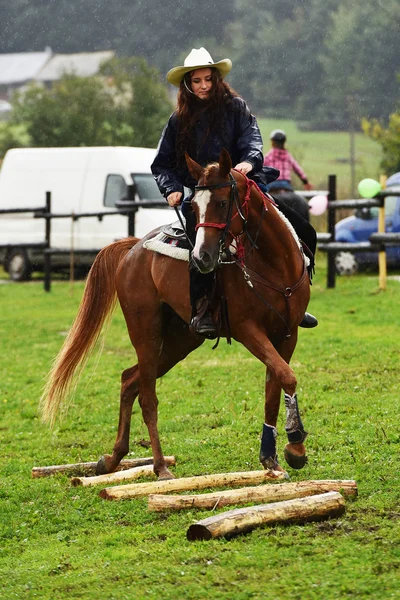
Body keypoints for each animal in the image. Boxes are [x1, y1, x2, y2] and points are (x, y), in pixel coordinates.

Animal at [43, 151, 312, 482]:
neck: (274, 266)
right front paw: (296, 444)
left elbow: (275, 388)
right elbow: (287, 377)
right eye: (194, 206)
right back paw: (159, 466)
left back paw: (113, 458)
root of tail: (133, 248)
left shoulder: (287, 334)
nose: (201, 257)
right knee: (147, 395)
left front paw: (272, 458)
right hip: (146, 333)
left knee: (129, 380)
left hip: (180, 341)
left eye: (223, 202)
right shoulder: (248, 330)